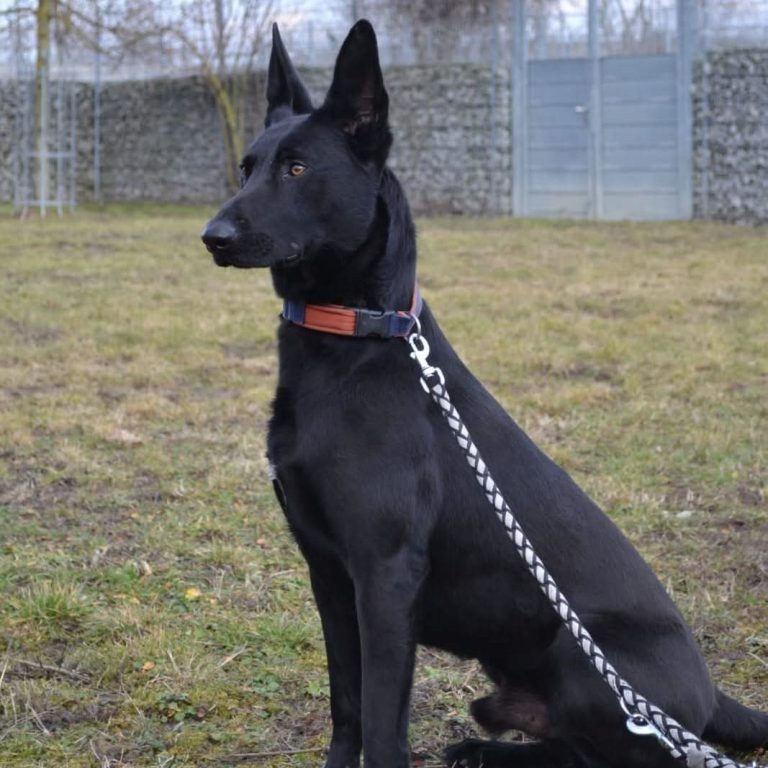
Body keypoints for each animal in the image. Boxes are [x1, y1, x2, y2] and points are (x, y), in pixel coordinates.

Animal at [201, 20, 768, 768]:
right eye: (247, 168)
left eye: (297, 169)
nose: (211, 237)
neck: (357, 340)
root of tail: (708, 700)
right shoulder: (328, 572)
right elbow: (346, 706)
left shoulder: (386, 578)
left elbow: (381, 722)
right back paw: (480, 748)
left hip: (586, 661)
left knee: (595, 755)